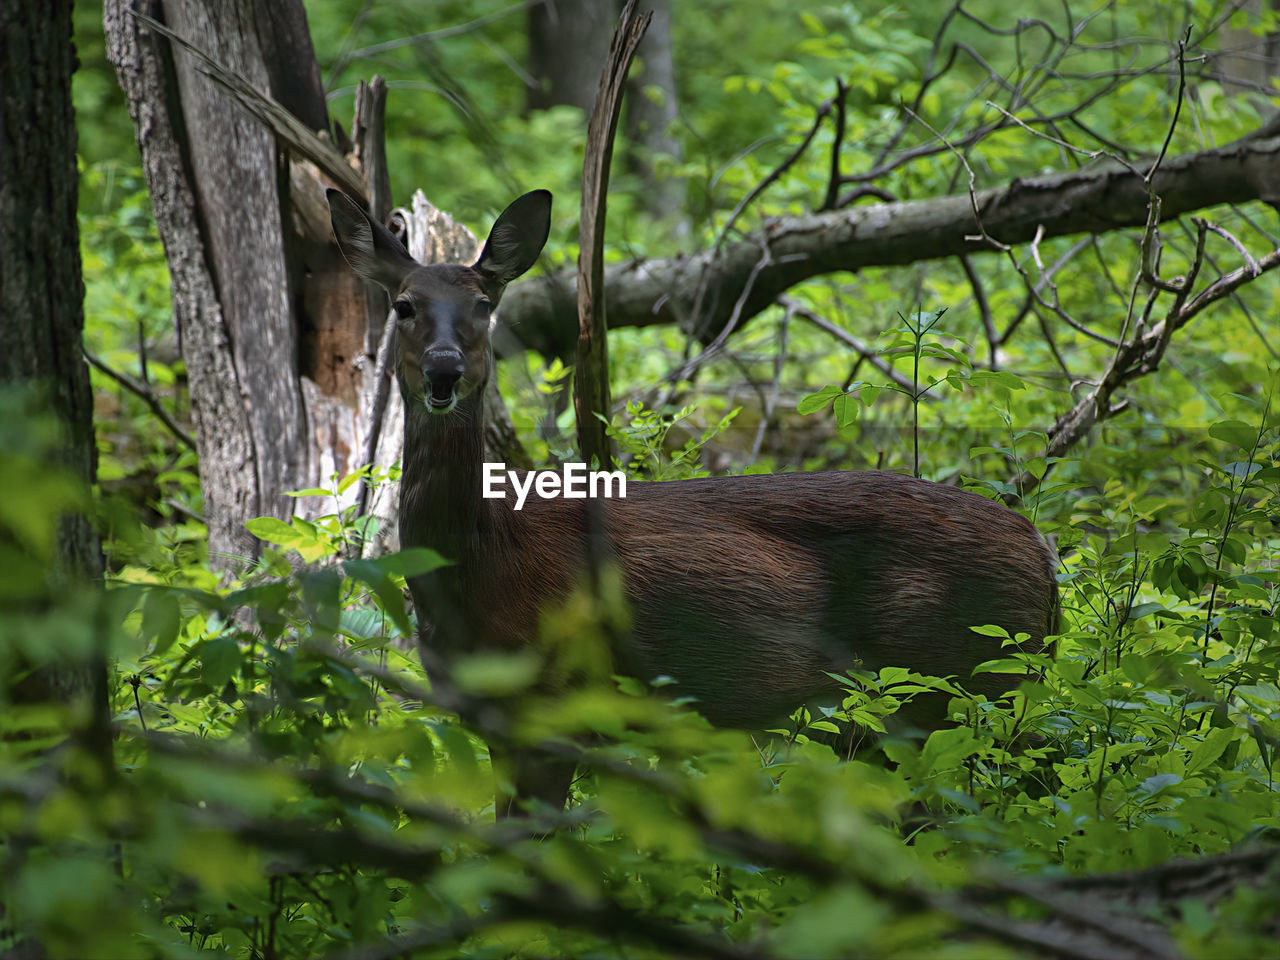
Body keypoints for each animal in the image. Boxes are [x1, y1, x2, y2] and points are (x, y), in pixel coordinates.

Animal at [327, 189, 1059, 819]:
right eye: (403, 304)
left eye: (484, 304)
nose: (445, 368)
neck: (484, 558)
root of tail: (1043, 557)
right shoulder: (499, 725)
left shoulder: (558, 703)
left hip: (966, 680)